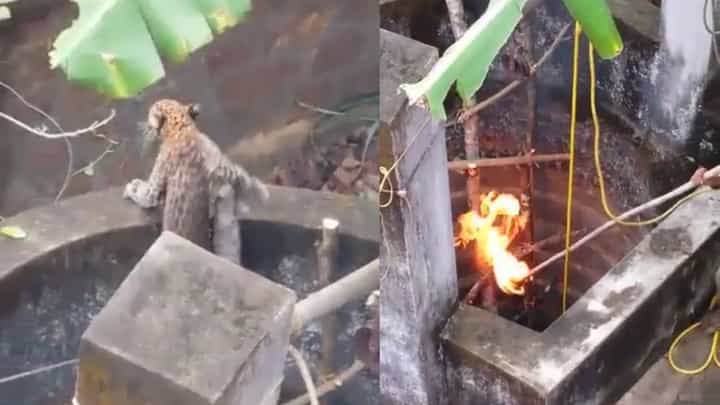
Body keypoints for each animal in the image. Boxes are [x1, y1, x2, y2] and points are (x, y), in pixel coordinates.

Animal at [123, 98, 269, 251]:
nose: (146, 127)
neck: (182, 129)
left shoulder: (153, 188)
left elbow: (145, 196)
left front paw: (131, 187)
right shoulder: (219, 165)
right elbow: (239, 175)